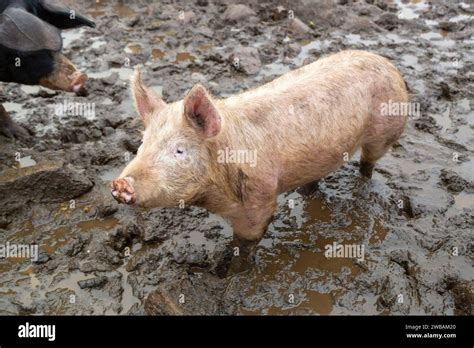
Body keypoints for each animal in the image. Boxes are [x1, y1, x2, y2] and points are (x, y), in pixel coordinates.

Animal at [111, 50, 408, 276]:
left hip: (385, 131)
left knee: (368, 164)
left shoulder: (260, 198)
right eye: (142, 143)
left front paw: (234, 275)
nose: (121, 183)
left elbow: (246, 242)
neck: (216, 197)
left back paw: (362, 189)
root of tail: (388, 62)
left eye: (179, 150)